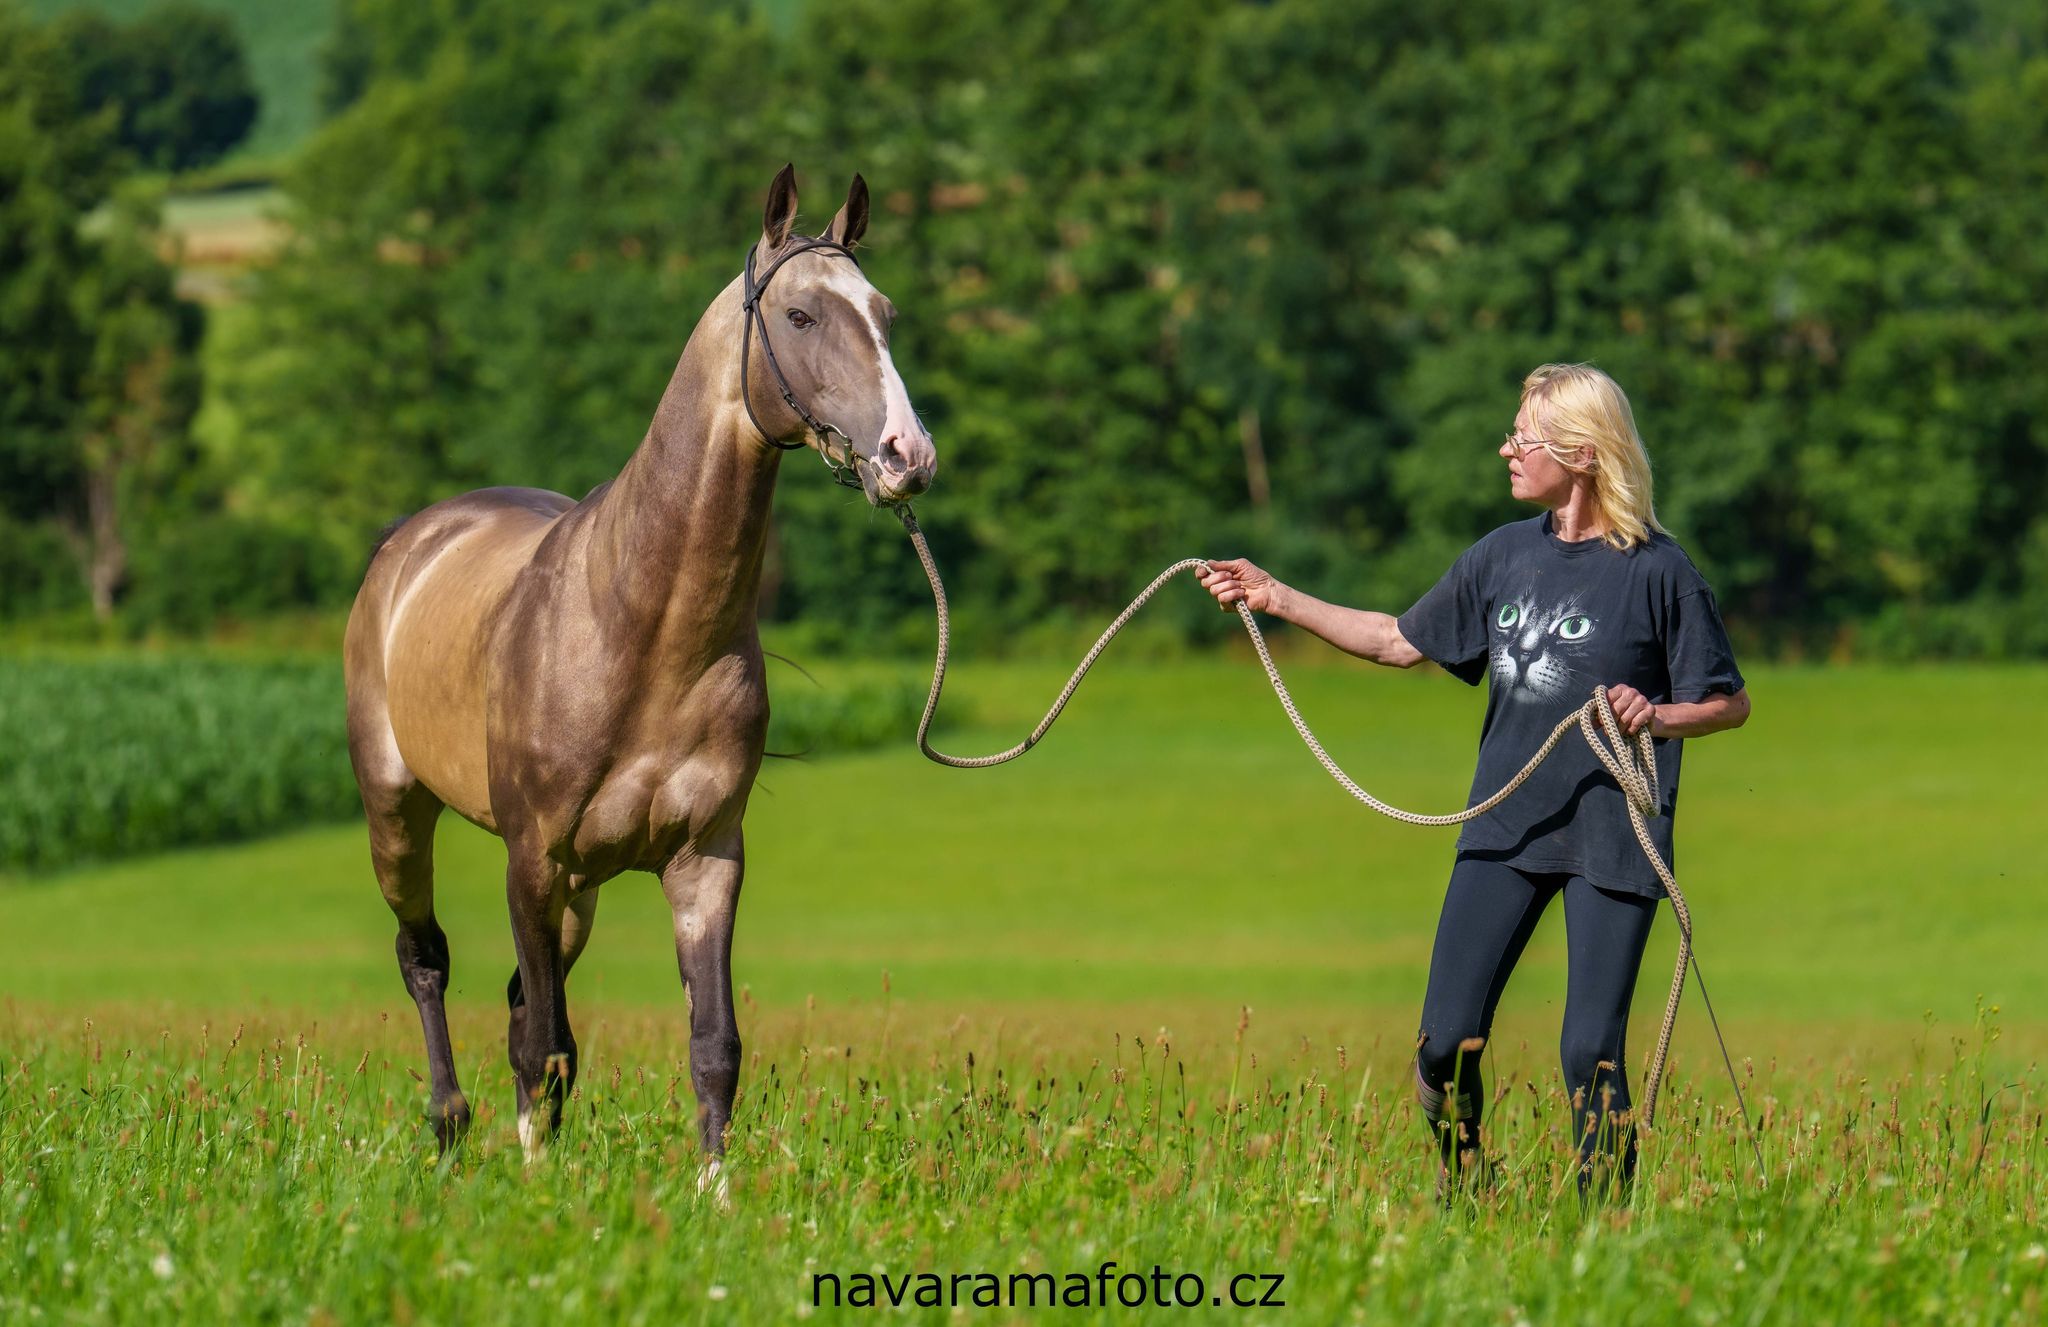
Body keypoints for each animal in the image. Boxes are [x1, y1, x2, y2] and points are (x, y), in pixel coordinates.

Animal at [344, 162, 937, 1163]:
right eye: (801, 316)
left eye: (886, 314)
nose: (907, 455)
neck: (642, 630)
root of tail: (410, 541)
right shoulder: (531, 858)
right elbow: (541, 1040)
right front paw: (536, 1182)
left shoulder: (705, 858)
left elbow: (708, 1048)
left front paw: (712, 1188)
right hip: (402, 810)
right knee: (427, 960)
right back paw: (452, 1128)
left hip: (580, 889)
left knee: (522, 1000)